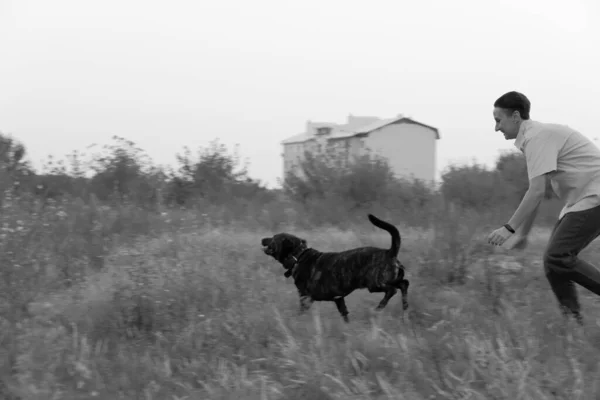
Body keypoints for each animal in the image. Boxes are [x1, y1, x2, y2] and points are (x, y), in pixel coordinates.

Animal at [260, 212, 410, 322]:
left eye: (274, 237)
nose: (262, 239)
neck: (298, 256)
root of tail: (389, 252)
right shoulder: (339, 299)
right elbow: (345, 315)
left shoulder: (305, 297)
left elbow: (301, 312)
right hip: (387, 280)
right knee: (404, 284)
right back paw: (405, 306)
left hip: (375, 284)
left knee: (392, 290)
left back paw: (380, 307)